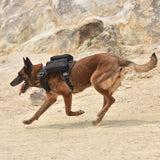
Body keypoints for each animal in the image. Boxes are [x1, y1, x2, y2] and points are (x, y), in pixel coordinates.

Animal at [10, 53, 158, 125]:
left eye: (19, 75)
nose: (11, 83)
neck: (41, 73)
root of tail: (118, 58)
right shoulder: (51, 99)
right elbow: (38, 112)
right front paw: (28, 121)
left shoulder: (67, 93)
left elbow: (68, 112)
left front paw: (78, 113)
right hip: (104, 87)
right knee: (108, 102)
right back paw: (98, 119)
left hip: (96, 82)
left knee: (112, 100)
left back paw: (99, 115)